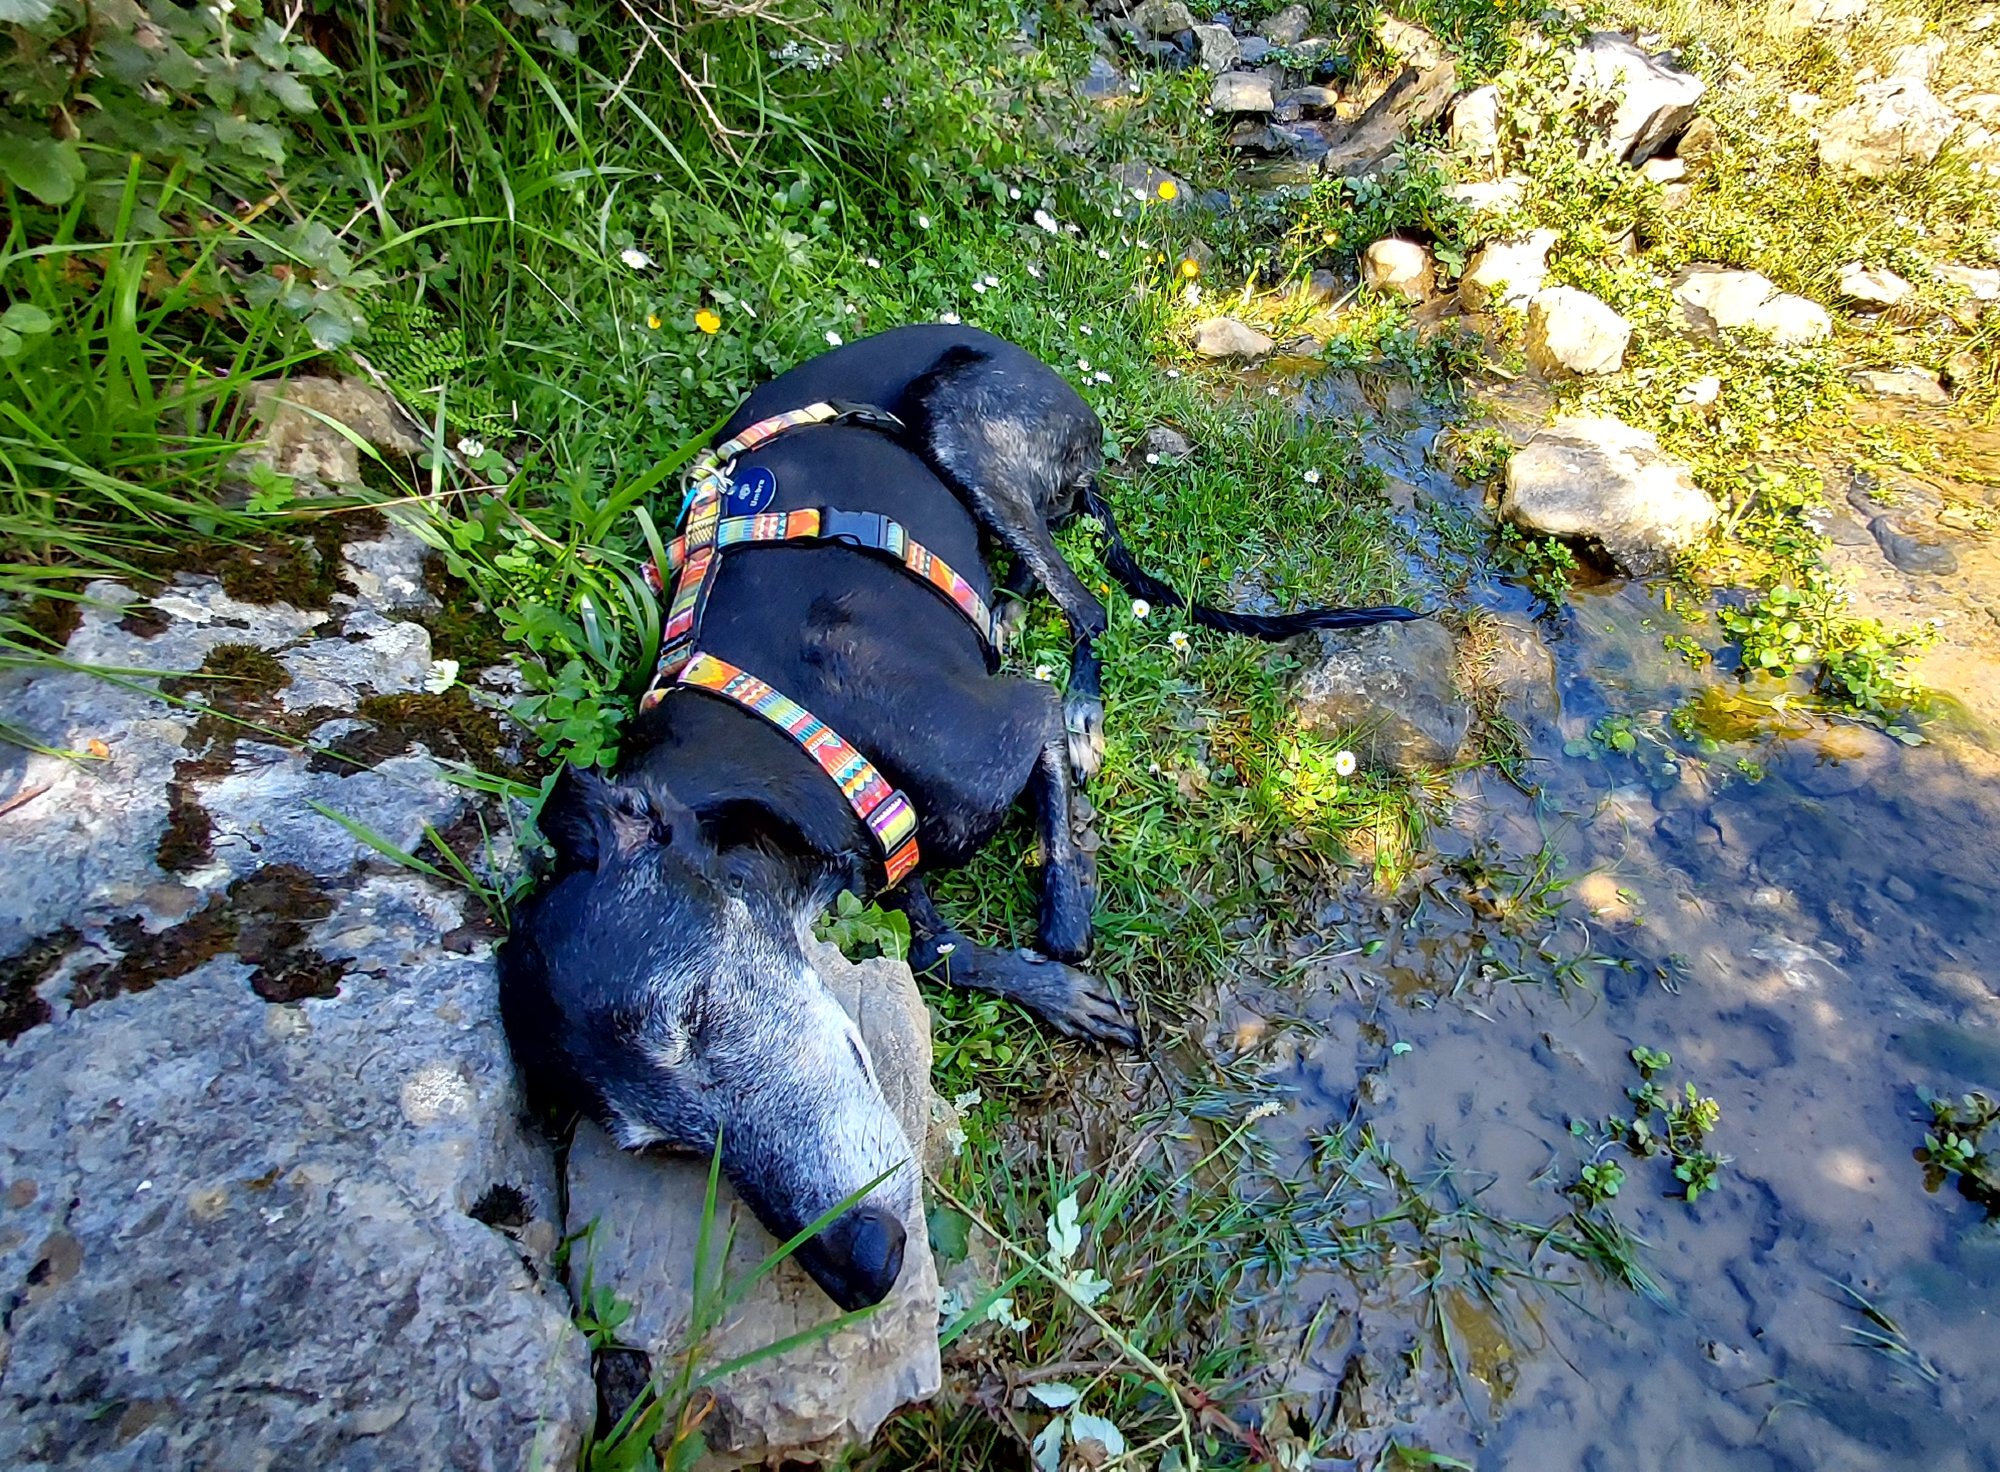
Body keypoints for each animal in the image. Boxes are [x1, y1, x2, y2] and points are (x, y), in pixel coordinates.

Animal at [499, 326, 1417, 1310]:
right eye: (659, 1145)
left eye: (696, 1011)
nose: (861, 1267)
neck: (777, 728)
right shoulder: (874, 857)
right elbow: (934, 945)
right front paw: (1043, 988)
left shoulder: (1010, 720)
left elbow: (1057, 904)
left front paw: (1064, 925)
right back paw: (1007, 607)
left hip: (961, 428)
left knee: (1086, 603)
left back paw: (1080, 697)